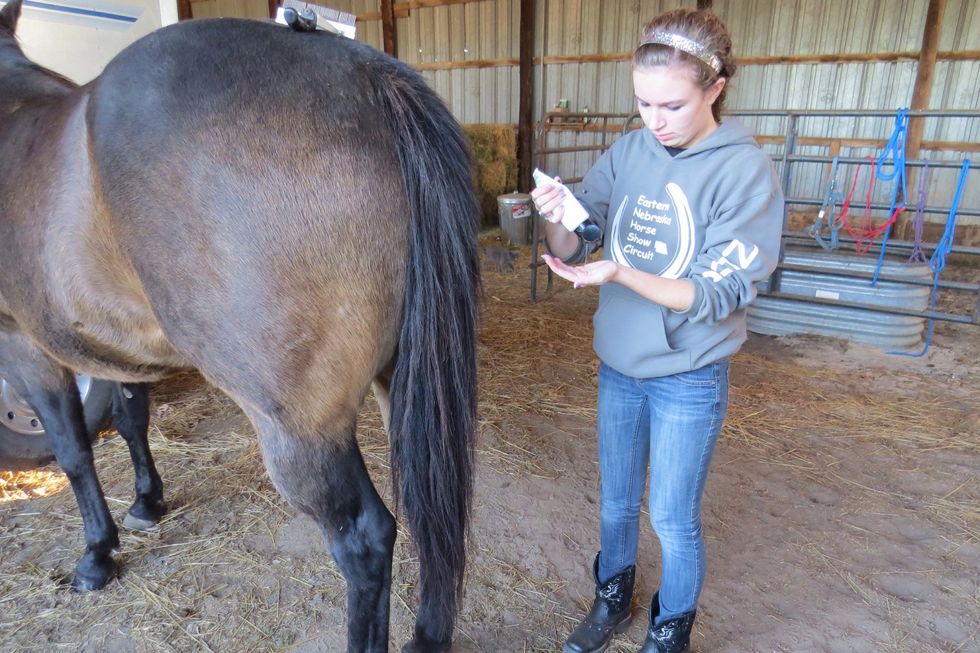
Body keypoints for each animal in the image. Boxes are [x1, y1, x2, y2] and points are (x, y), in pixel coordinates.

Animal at [0, 2, 479, 651]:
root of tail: (363, 73)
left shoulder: (24, 347)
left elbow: (73, 451)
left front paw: (97, 555)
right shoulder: (119, 347)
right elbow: (131, 419)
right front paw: (147, 503)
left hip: (300, 431)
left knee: (366, 539)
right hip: (404, 385)